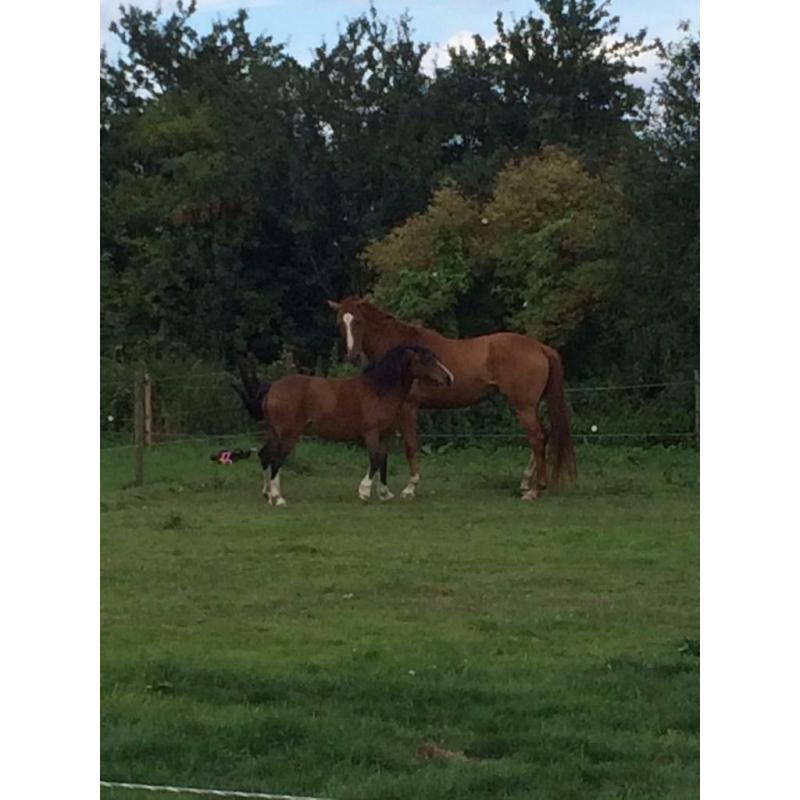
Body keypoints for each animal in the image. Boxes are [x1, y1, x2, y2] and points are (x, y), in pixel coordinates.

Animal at [233, 346, 454, 507]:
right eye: (425, 359)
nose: (449, 378)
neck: (378, 390)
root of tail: (272, 387)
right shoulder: (371, 433)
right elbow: (375, 459)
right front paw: (364, 491)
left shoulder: (385, 435)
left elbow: (383, 461)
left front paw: (384, 493)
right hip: (288, 435)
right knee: (276, 460)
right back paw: (278, 498)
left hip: (274, 432)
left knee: (265, 455)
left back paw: (268, 493)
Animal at [327, 297, 576, 500]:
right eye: (340, 323)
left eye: (358, 321)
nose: (353, 356)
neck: (403, 353)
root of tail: (541, 348)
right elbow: (383, 449)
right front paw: (381, 490)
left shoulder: (408, 408)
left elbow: (410, 446)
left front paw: (409, 488)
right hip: (531, 406)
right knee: (543, 436)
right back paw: (526, 483)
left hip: (523, 406)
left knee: (537, 437)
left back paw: (534, 490)